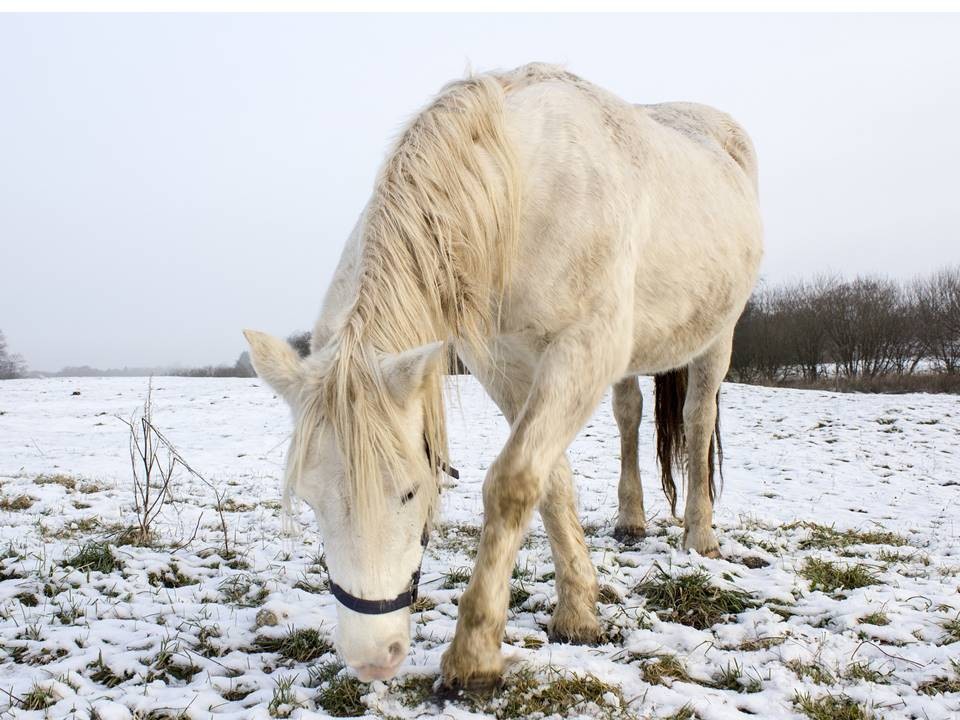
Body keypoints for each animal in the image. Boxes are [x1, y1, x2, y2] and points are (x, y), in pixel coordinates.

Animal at [246, 64, 764, 688]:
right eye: (310, 498)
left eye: (411, 491)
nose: (372, 658)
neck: (516, 192)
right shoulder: (504, 364)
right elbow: (550, 482)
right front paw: (578, 611)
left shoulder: (582, 349)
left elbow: (514, 481)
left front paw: (474, 654)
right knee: (629, 416)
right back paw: (631, 521)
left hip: (718, 336)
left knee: (696, 418)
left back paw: (699, 537)